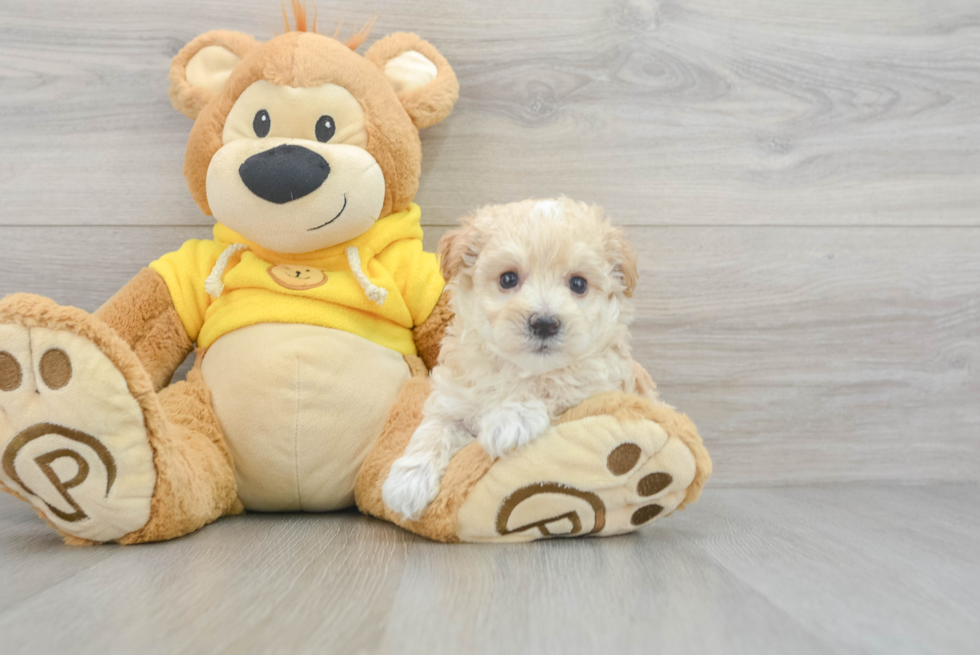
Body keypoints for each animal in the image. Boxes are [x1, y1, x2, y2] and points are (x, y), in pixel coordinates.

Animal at [380, 200, 652, 524]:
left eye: (578, 284)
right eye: (508, 279)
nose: (545, 323)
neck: (517, 368)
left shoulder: (597, 382)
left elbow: (557, 384)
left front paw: (511, 418)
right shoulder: (454, 399)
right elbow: (434, 429)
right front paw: (407, 482)